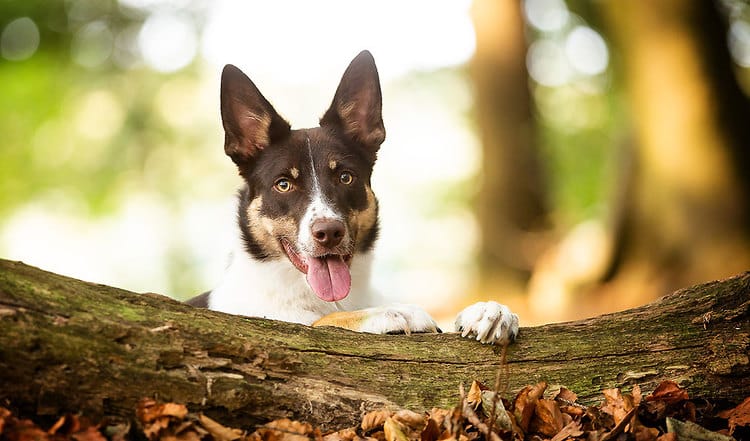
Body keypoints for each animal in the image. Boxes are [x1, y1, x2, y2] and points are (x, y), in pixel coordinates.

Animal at [187, 49, 516, 344]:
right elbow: (322, 322)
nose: (329, 233)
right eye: (283, 184)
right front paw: (390, 312)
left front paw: (488, 311)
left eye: (345, 177)